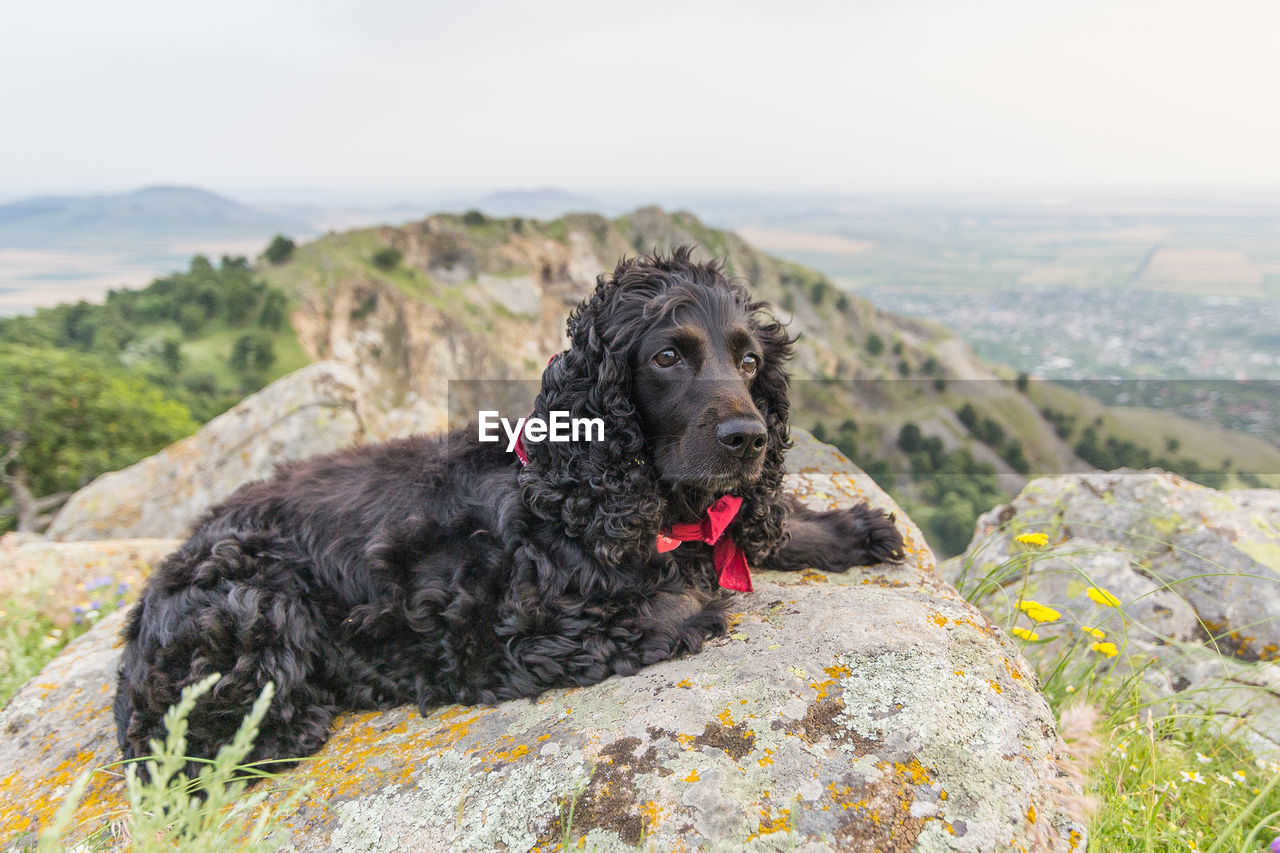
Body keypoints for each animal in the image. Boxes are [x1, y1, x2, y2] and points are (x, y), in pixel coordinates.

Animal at [115, 247, 906, 768]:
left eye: (749, 362)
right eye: (667, 358)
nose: (750, 438)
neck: (579, 488)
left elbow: (745, 536)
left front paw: (848, 528)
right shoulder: (533, 629)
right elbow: (688, 600)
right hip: (254, 596)